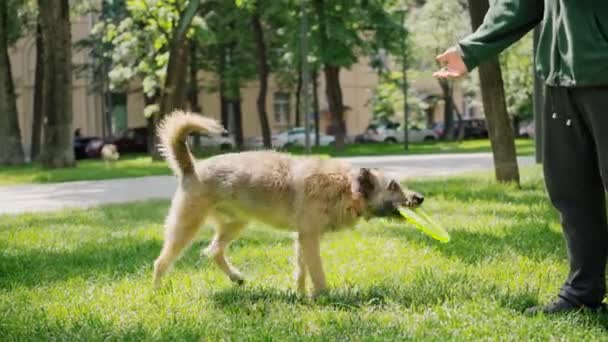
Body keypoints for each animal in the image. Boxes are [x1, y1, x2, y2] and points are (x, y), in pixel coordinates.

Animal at [154, 111, 426, 296]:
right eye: (393, 185)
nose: (420, 198)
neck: (345, 187)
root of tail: (192, 167)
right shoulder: (309, 237)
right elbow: (316, 270)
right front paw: (324, 296)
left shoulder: (303, 237)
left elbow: (301, 269)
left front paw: (301, 294)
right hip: (186, 227)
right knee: (162, 262)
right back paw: (157, 291)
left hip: (236, 224)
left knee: (213, 251)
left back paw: (236, 278)